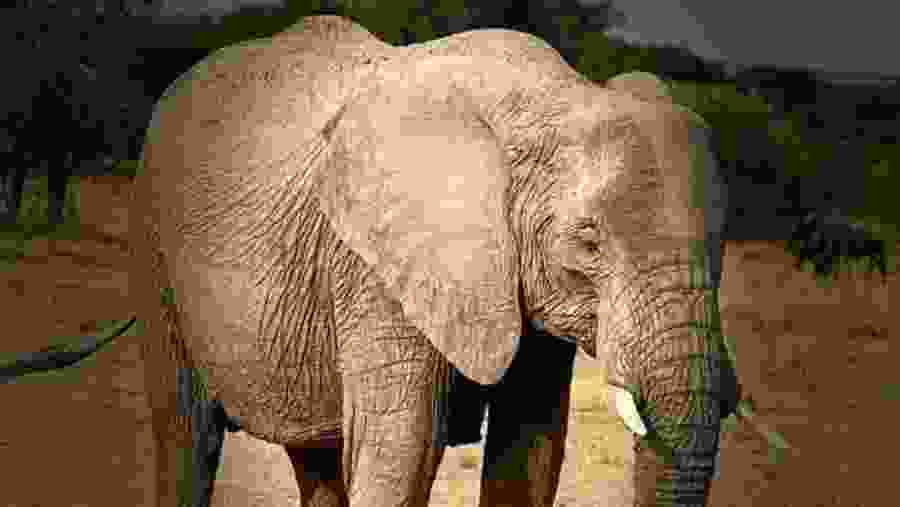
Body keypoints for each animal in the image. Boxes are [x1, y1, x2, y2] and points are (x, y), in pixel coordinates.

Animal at [6, 15, 793, 507]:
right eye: (589, 241)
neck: (551, 100)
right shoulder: (375, 267)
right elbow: (403, 447)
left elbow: (531, 450)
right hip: (153, 238)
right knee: (186, 435)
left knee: (318, 457)